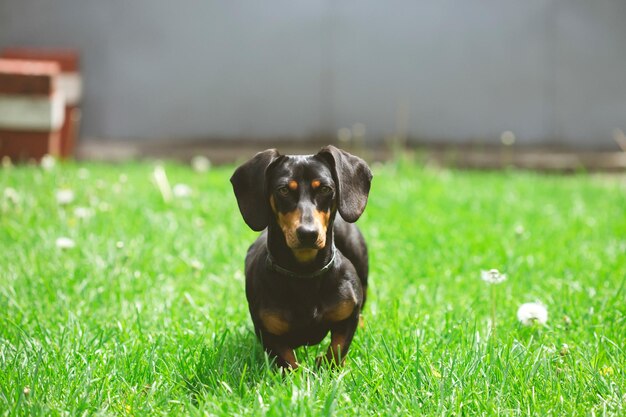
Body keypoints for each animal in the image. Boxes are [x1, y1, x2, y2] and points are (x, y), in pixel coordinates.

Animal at [233, 145, 370, 368]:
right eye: (283, 190)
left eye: (325, 189)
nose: (308, 234)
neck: (304, 275)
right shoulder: (267, 331)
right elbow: (289, 363)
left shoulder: (349, 313)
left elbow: (338, 349)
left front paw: (326, 364)